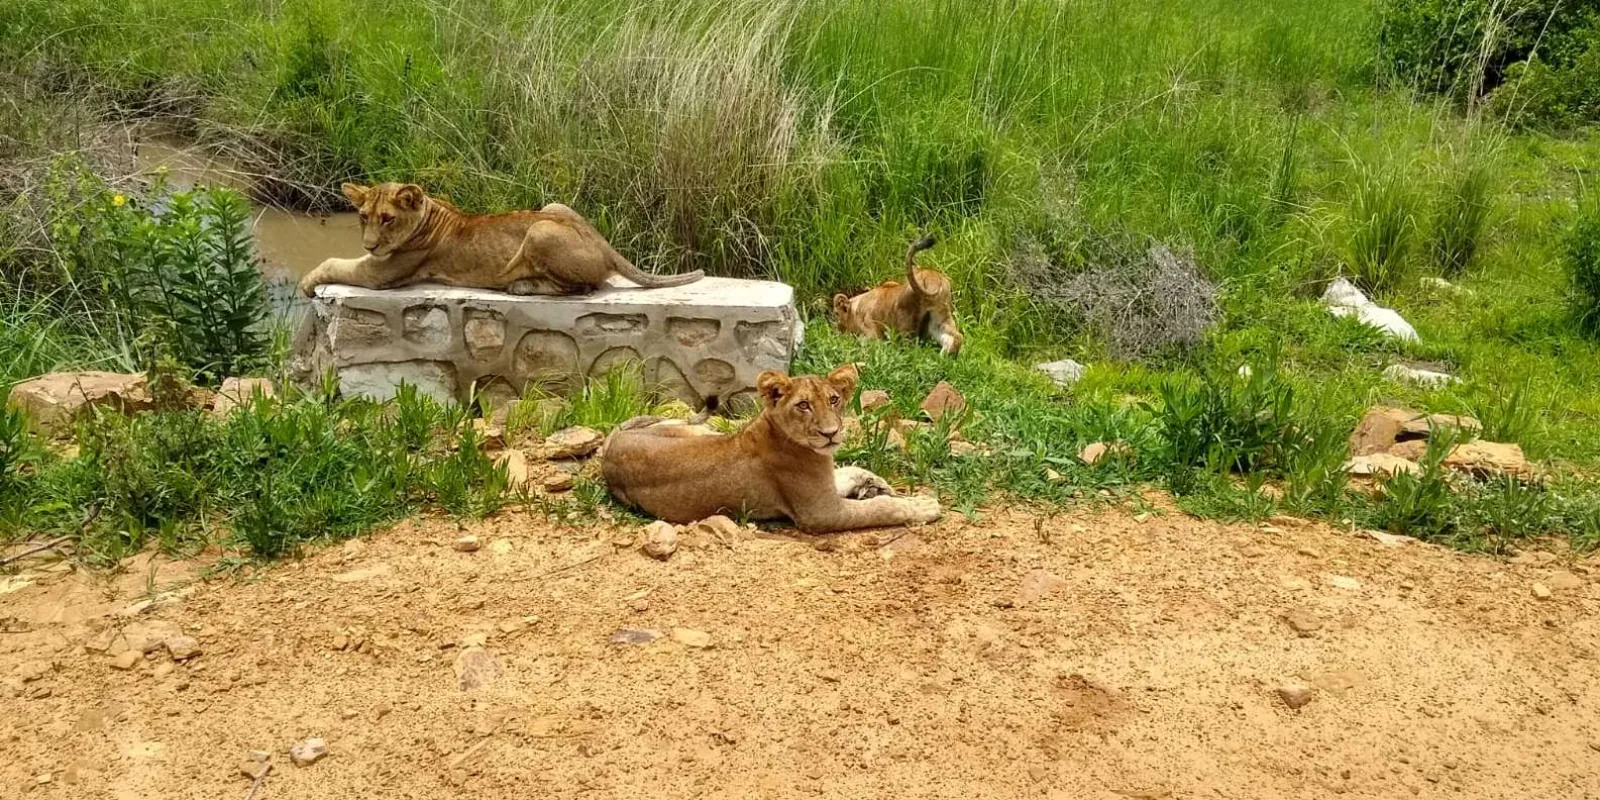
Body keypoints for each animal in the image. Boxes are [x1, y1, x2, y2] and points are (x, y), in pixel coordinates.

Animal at [297, 182, 703, 297]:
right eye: (363, 217)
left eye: (388, 219)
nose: (370, 245)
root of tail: (605, 244)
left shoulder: (382, 273)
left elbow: (333, 262)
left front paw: (305, 283)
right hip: (552, 206)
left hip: (540, 230)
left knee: (583, 287)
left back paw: (521, 286)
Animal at [601, 364, 942, 532]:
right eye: (803, 405)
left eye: (834, 400)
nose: (831, 433)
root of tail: (611, 445)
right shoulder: (820, 513)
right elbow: (882, 508)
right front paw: (922, 506)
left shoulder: (826, 487)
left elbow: (850, 470)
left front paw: (876, 483)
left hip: (696, 430)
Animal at [833, 235, 963, 356]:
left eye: (836, 314)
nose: (837, 331)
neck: (855, 308)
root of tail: (933, 278)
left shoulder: (872, 336)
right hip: (940, 315)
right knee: (955, 337)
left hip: (905, 319)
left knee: (912, 348)